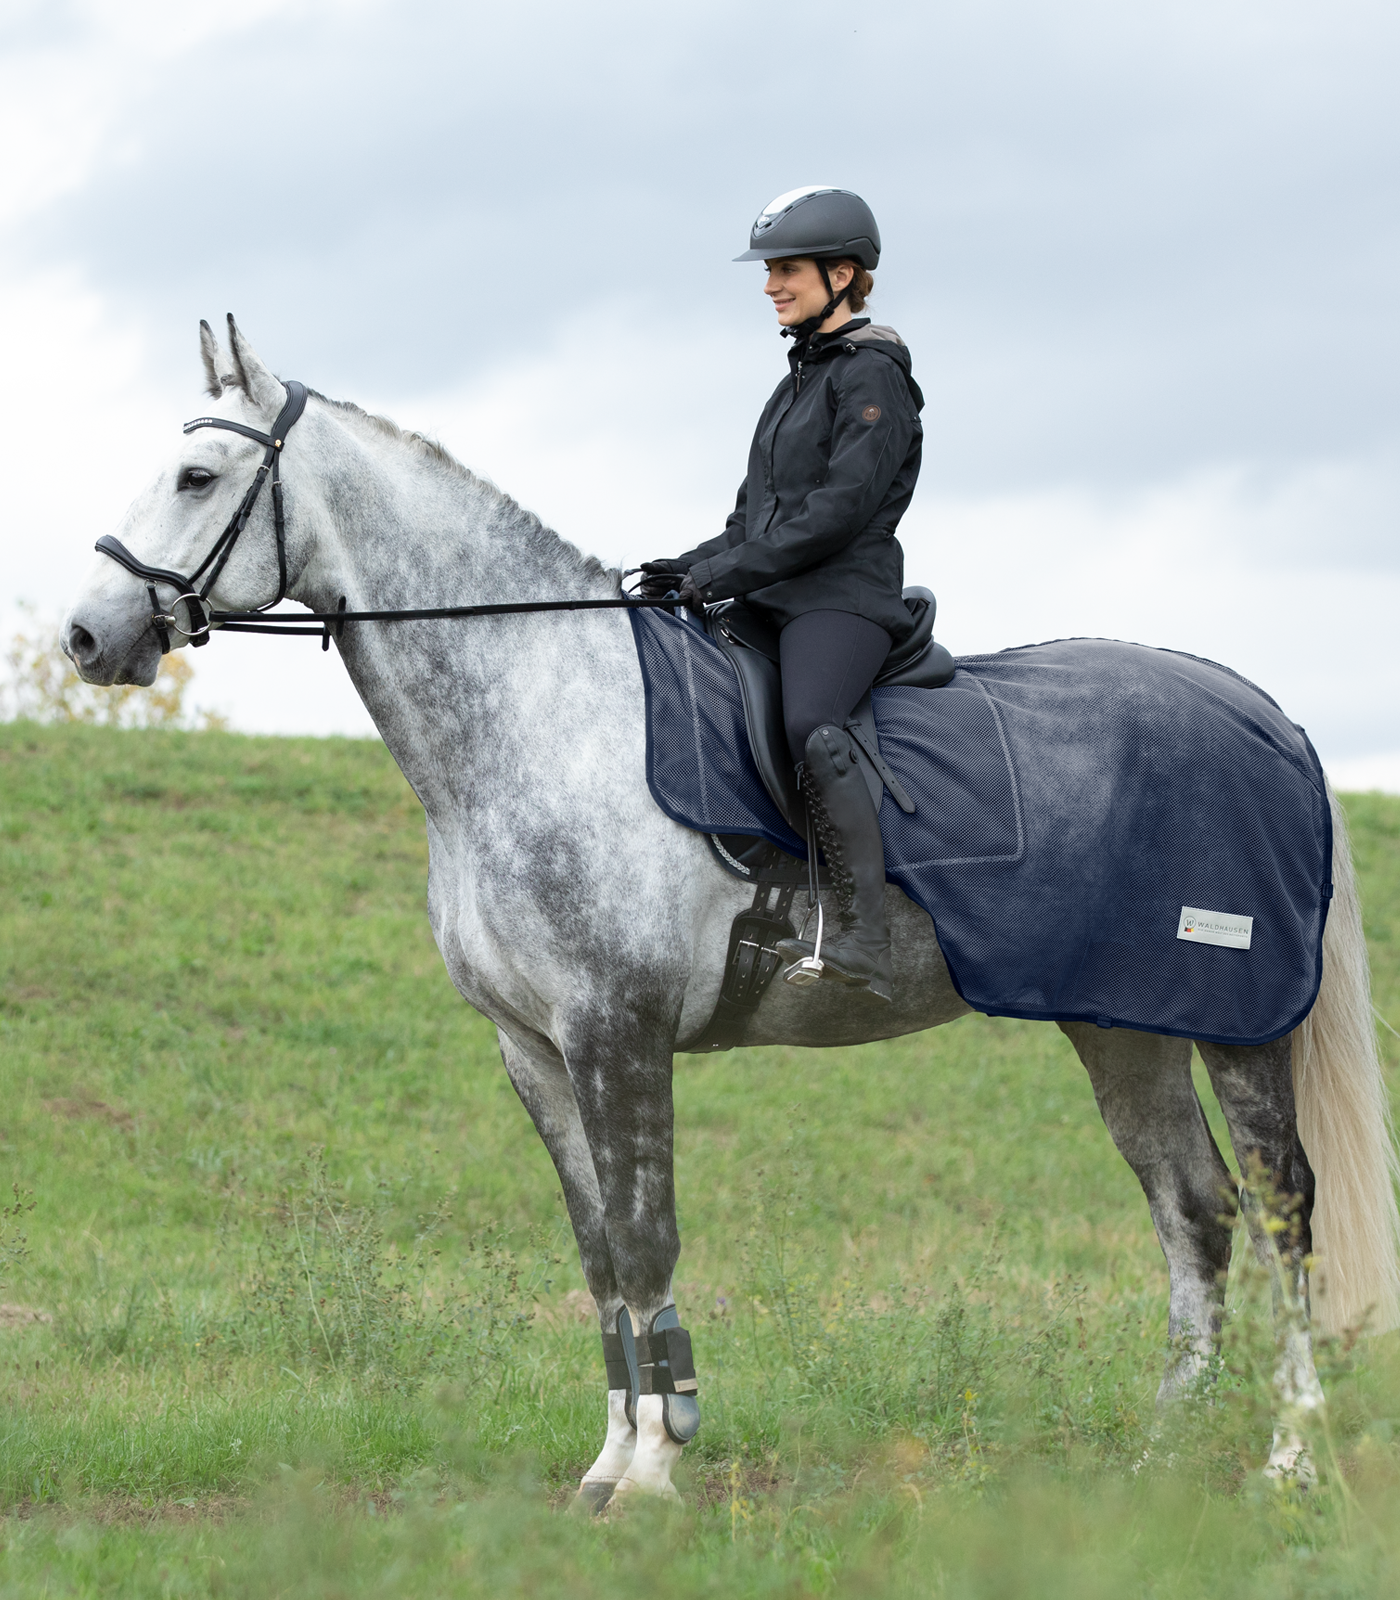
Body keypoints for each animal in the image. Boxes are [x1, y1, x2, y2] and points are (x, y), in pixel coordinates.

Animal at [62, 321, 1400, 1497]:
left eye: (196, 474)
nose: (86, 635)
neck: (542, 711)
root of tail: (1263, 716)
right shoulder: (533, 1048)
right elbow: (598, 1253)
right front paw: (607, 1463)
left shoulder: (619, 1027)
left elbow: (644, 1239)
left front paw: (657, 1470)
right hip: (1121, 1026)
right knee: (1194, 1210)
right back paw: (1160, 1460)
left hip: (1235, 1024)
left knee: (1280, 1212)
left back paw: (1287, 1460)